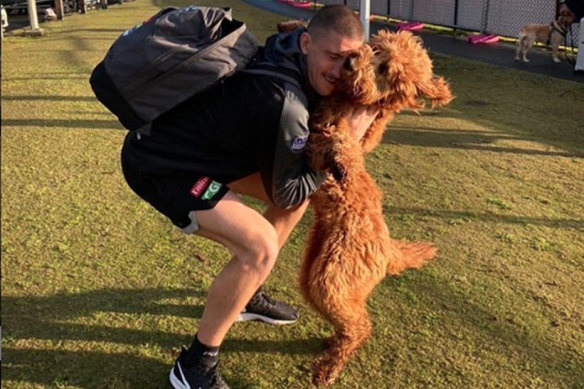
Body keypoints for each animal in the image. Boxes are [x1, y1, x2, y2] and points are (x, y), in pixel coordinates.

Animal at [302, 28, 452, 384]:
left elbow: (341, 144)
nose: (352, 60)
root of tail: (388, 248)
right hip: (316, 269)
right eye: (377, 49)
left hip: (332, 278)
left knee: (360, 326)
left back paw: (328, 368)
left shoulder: (339, 132)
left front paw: (342, 162)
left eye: (385, 70)